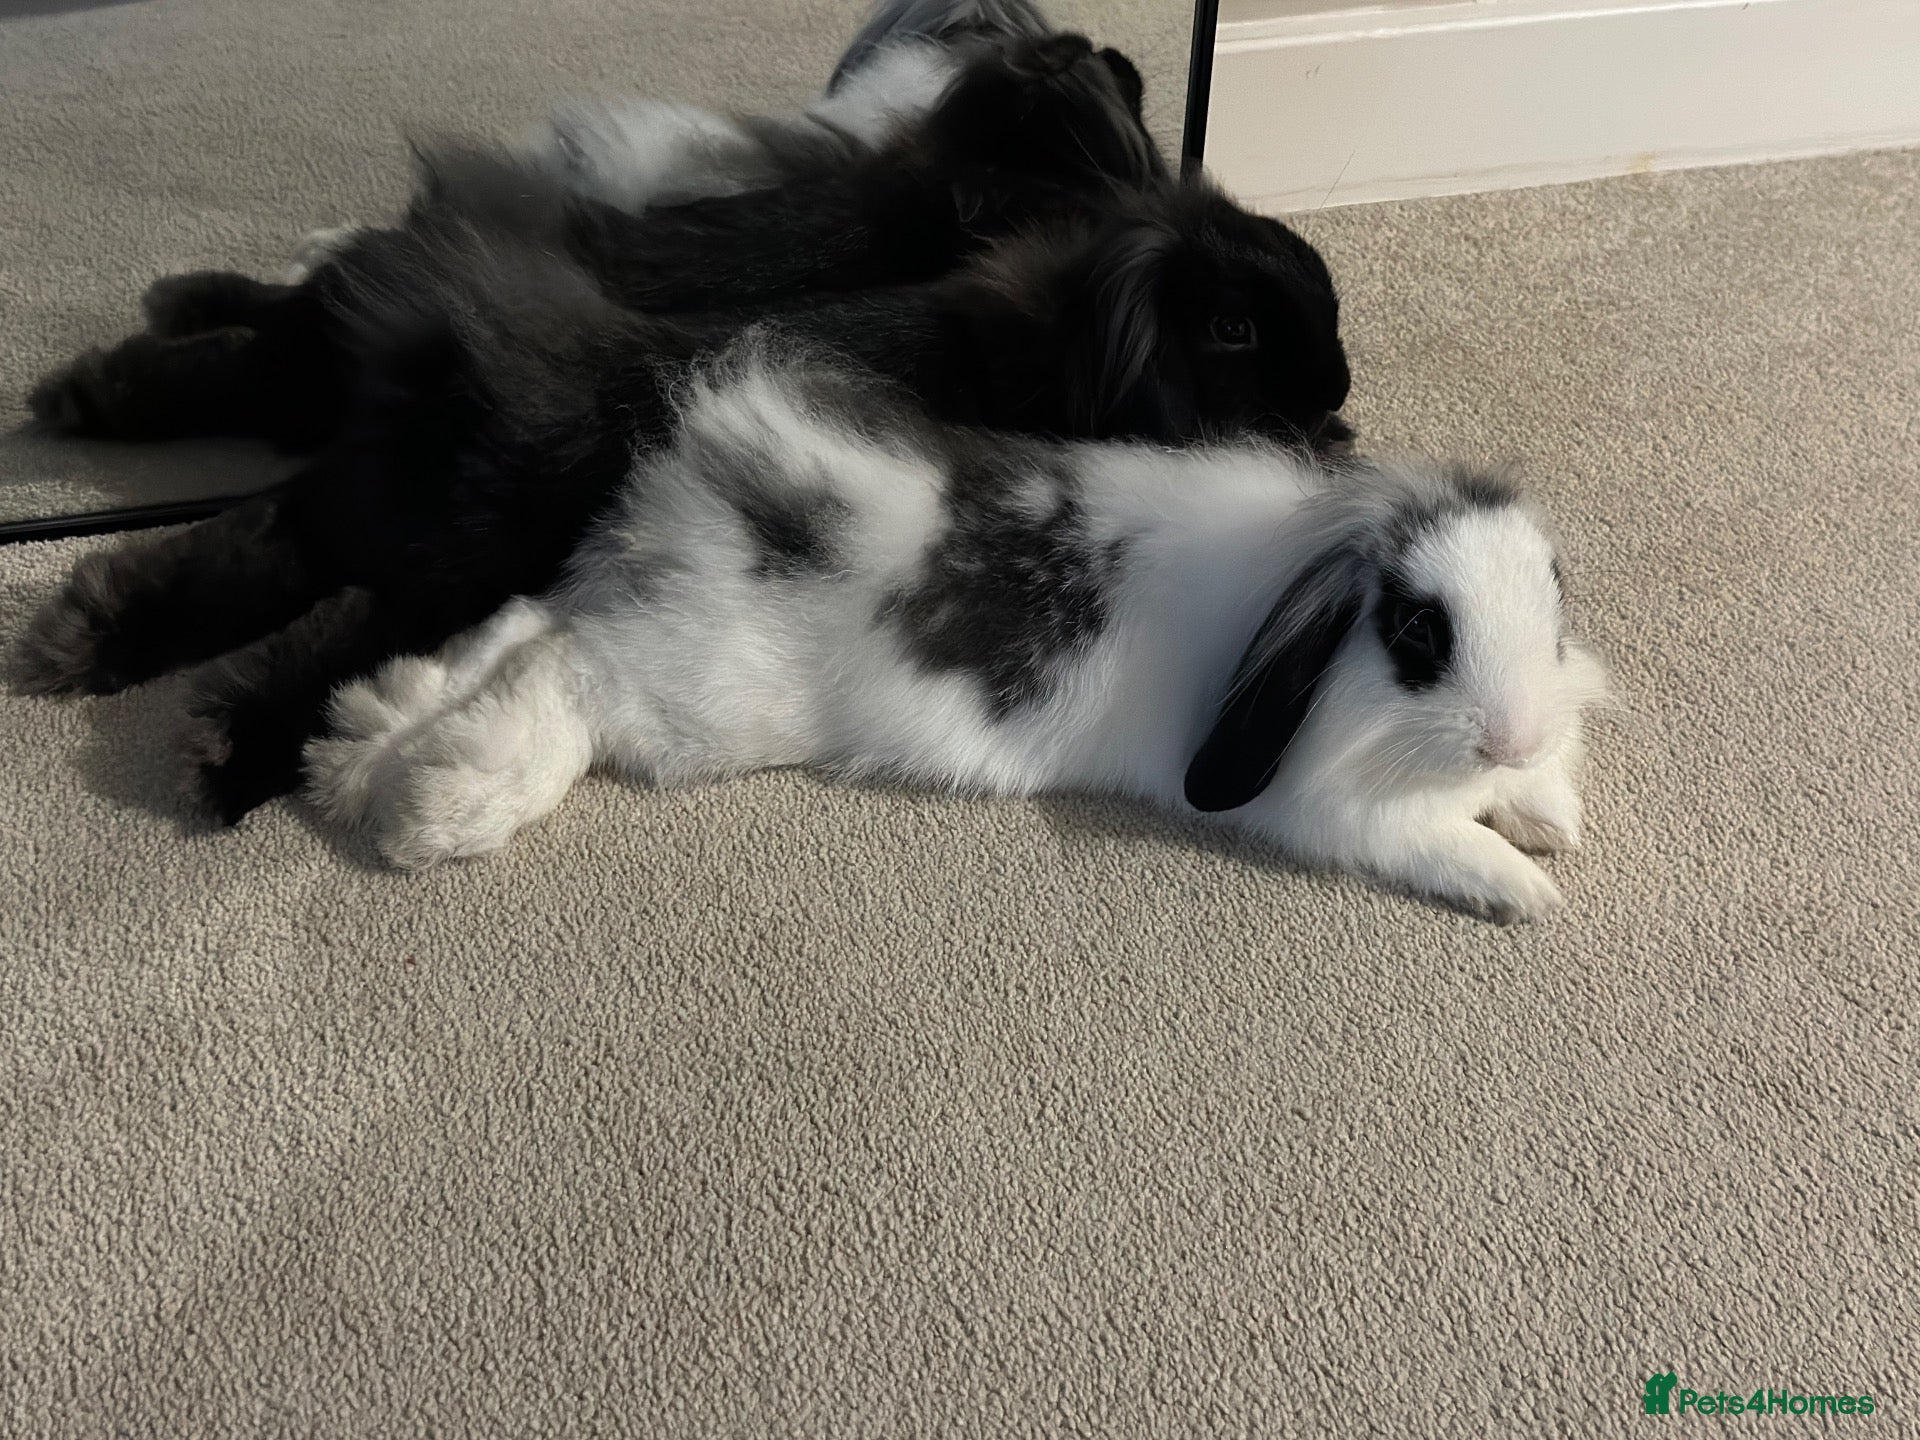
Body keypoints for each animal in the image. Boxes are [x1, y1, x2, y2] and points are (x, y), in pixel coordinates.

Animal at [303, 342, 1606, 922]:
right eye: (1416, 629)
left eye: (1553, 594)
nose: (1511, 733)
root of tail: (715, 473)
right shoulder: (1325, 808)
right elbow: (1434, 842)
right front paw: (1530, 890)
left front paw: (1550, 815)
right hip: (695, 693)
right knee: (566, 671)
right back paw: (439, 805)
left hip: (640, 607)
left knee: (530, 619)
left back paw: (364, 748)